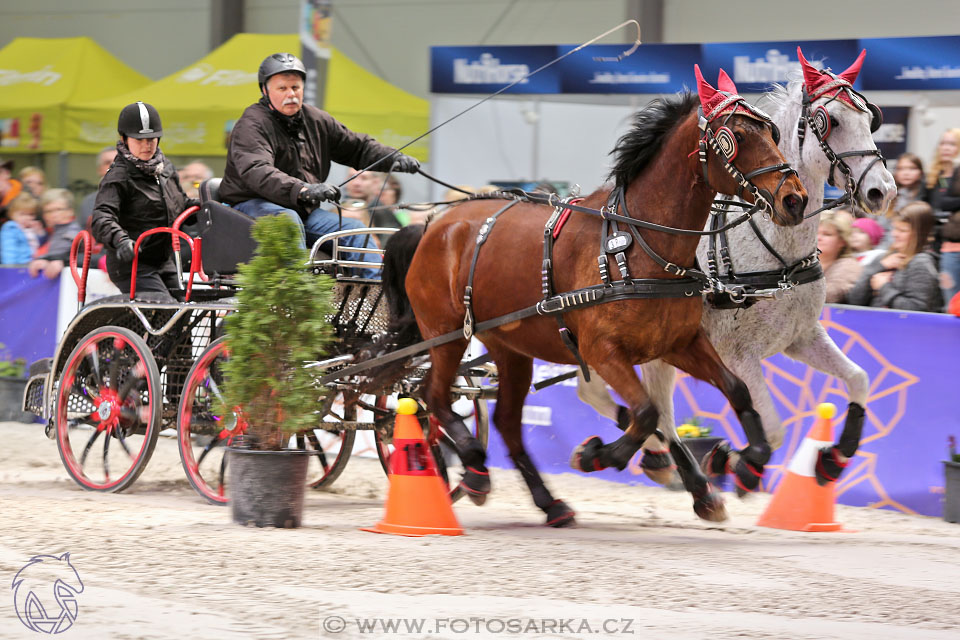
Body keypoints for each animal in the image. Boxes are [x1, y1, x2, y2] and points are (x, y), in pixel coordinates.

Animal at [378, 67, 808, 524]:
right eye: (736, 136)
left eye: (772, 132)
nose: (794, 199)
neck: (638, 244)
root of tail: (433, 224)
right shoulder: (602, 352)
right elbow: (646, 413)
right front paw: (596, 455)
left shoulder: (681, 343)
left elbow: (737, 391)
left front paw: (747, 460)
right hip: (446, 334)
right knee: (433, 397)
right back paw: (473, 465)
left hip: (510, 348)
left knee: (506, 422)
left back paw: (546, 501)